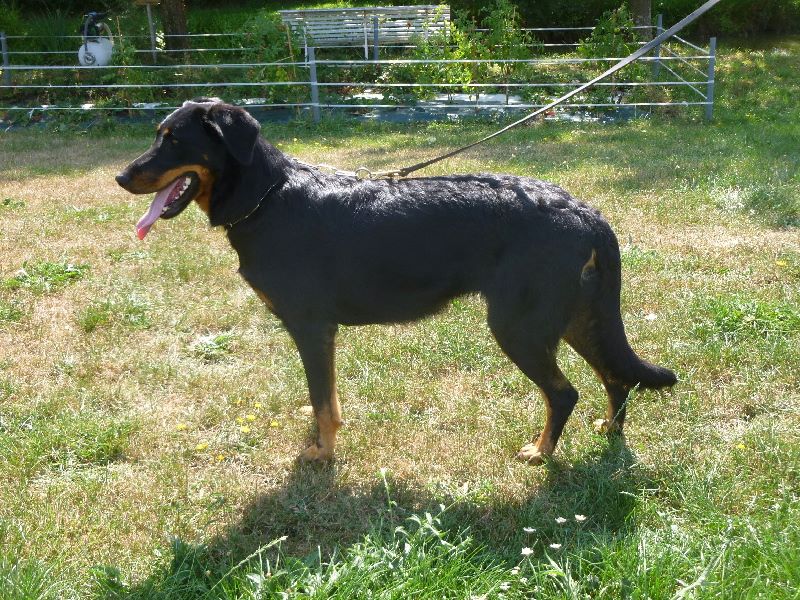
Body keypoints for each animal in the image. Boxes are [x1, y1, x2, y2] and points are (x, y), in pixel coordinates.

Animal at [116, 99, 676, 464]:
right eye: (158, 135)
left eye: (174, 140)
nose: (121, 178)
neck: (268, 197)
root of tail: (585, 212)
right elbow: (326, 399)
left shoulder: (312, 328)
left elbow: (323, 404)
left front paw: (321, 456)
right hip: (574, 317)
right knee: (616, 376)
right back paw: (610, 432)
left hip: (519, 327)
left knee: (565, 394)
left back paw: (540, 452)